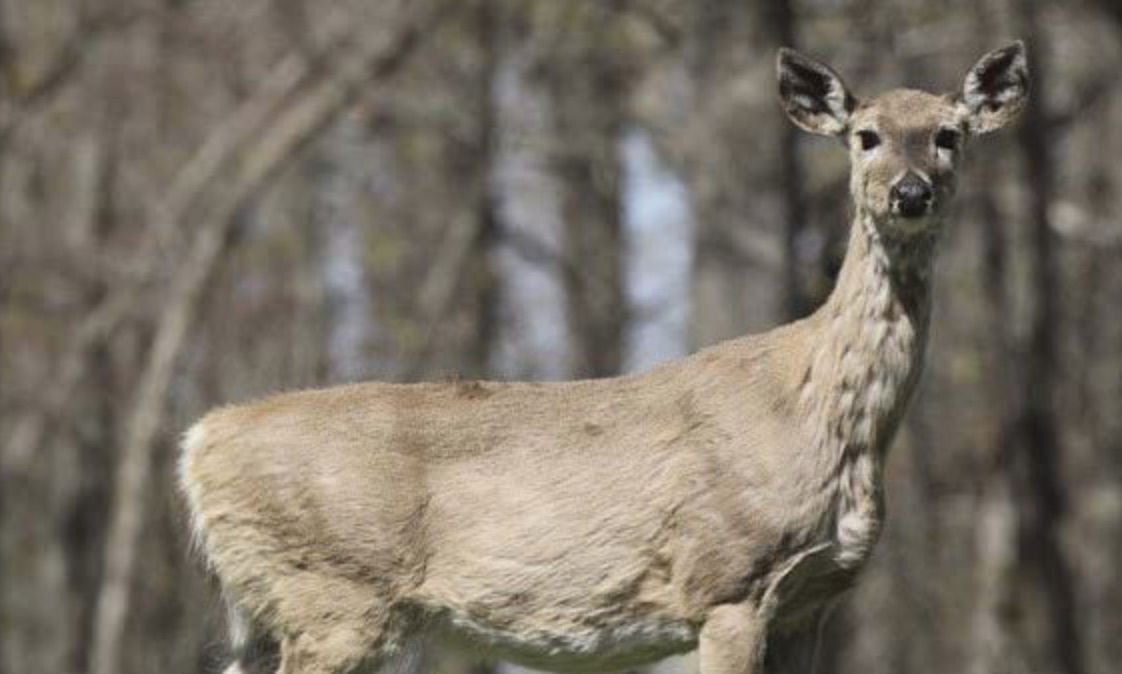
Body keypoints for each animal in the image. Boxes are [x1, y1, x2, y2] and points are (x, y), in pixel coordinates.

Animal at [179, 43, 1027, 672]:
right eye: (865, 135)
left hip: (268, 614)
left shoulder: (813, 604)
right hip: (332, 596)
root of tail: (200, 441)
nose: (910, 192)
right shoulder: (726, 581)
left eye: (949, 134)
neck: (819, 412)